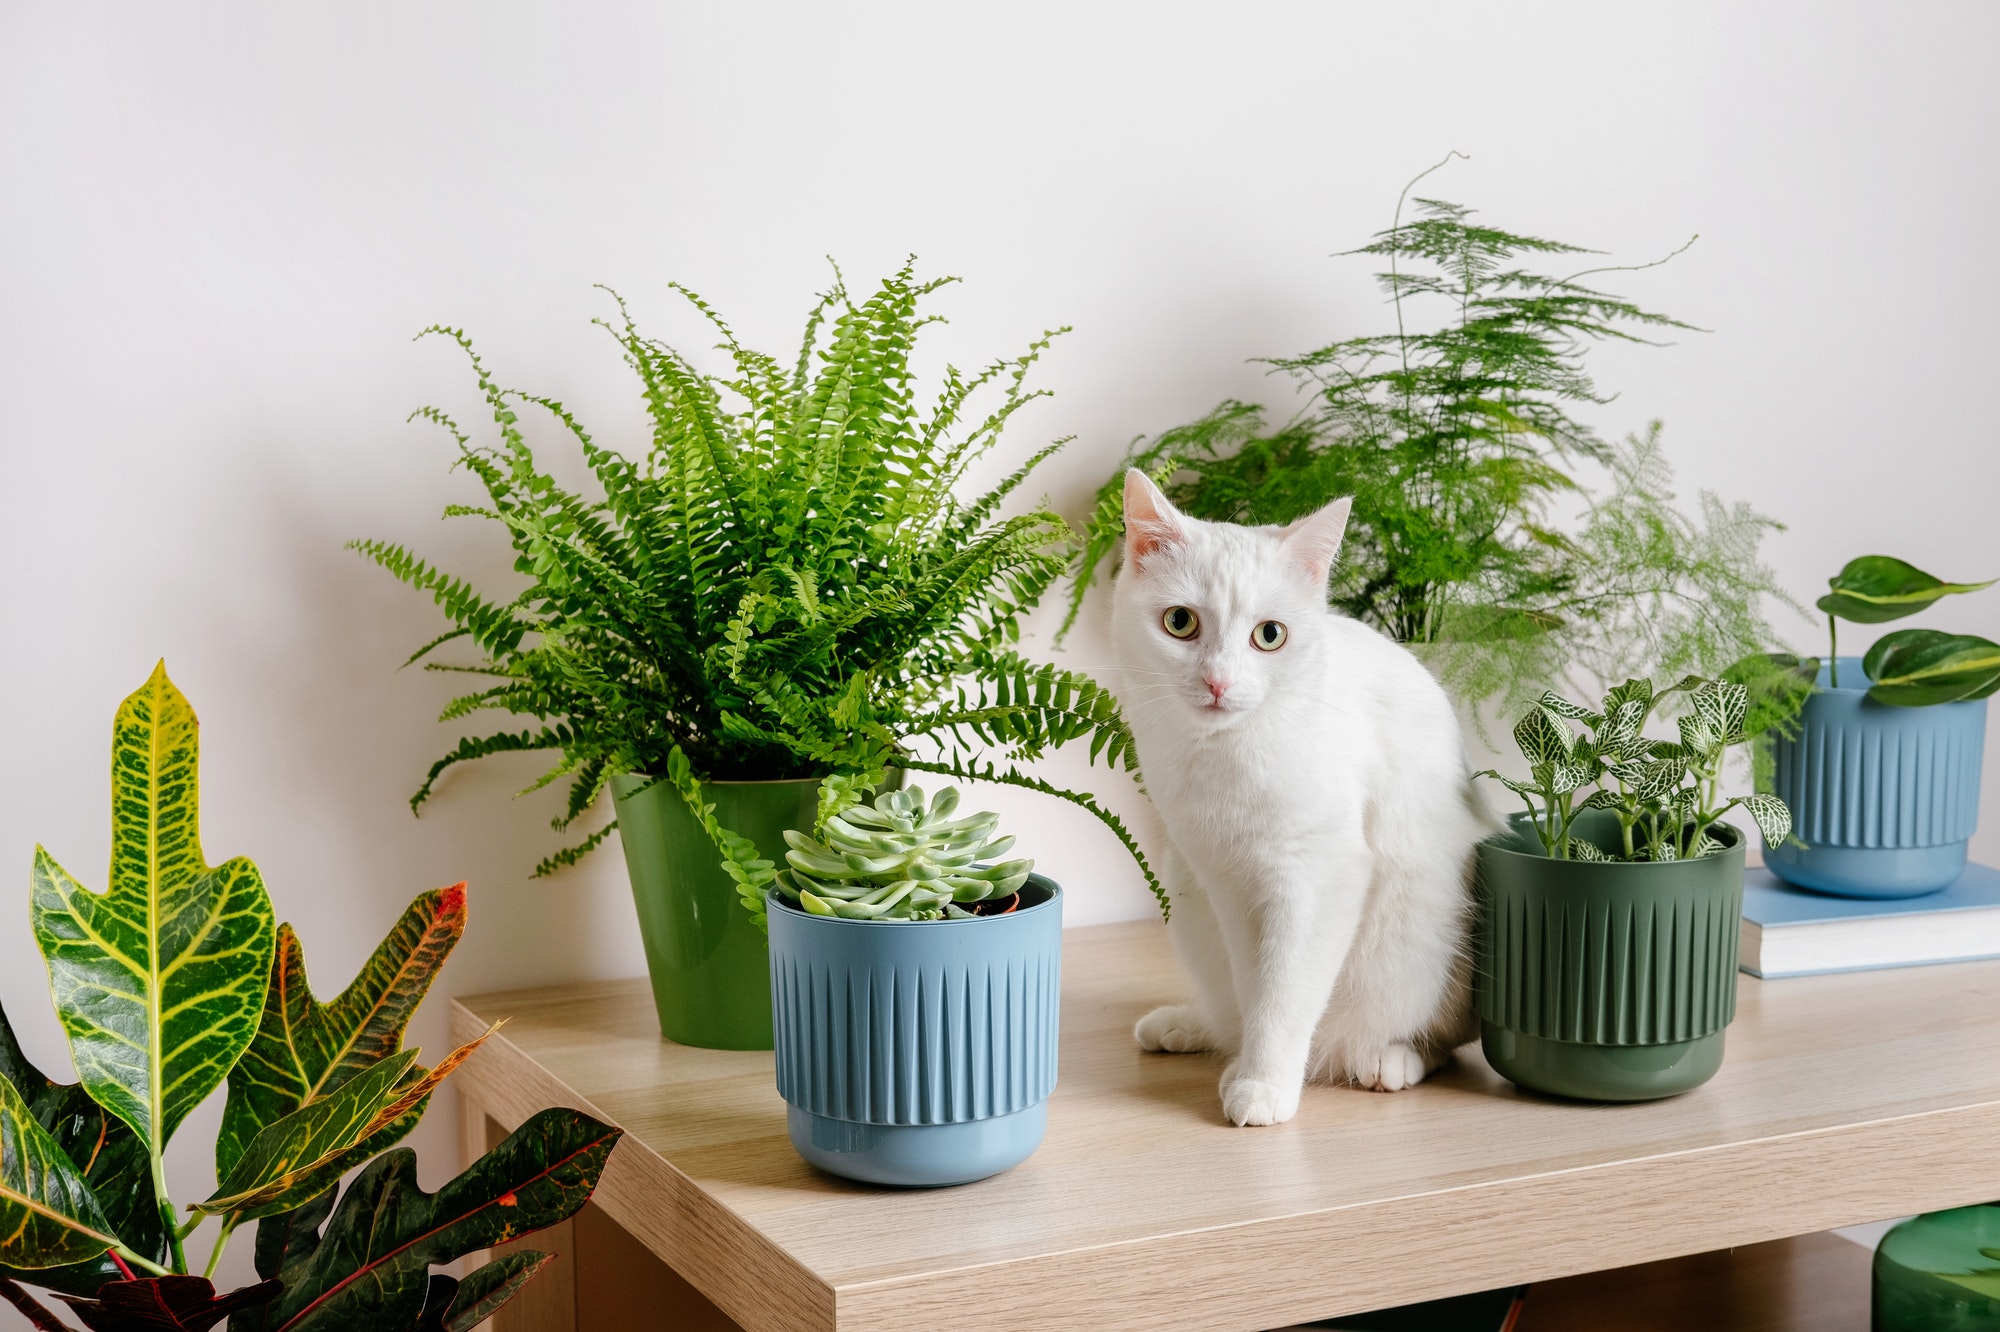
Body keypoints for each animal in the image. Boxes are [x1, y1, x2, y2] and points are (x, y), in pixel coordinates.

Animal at [1112, 466, 1504, 1120]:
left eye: (1270, 635)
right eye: (1180, 622)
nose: (1218, 682)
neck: (1224, 754)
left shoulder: (1319, 874)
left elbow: (1286, 989)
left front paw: (1264, 1084)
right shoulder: (1227, 882)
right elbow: (1255, 986)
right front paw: (1252, 1067)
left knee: (1439, 1040)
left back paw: (1387, 1058)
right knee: (1227, 1009)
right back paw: (1188, 1028)